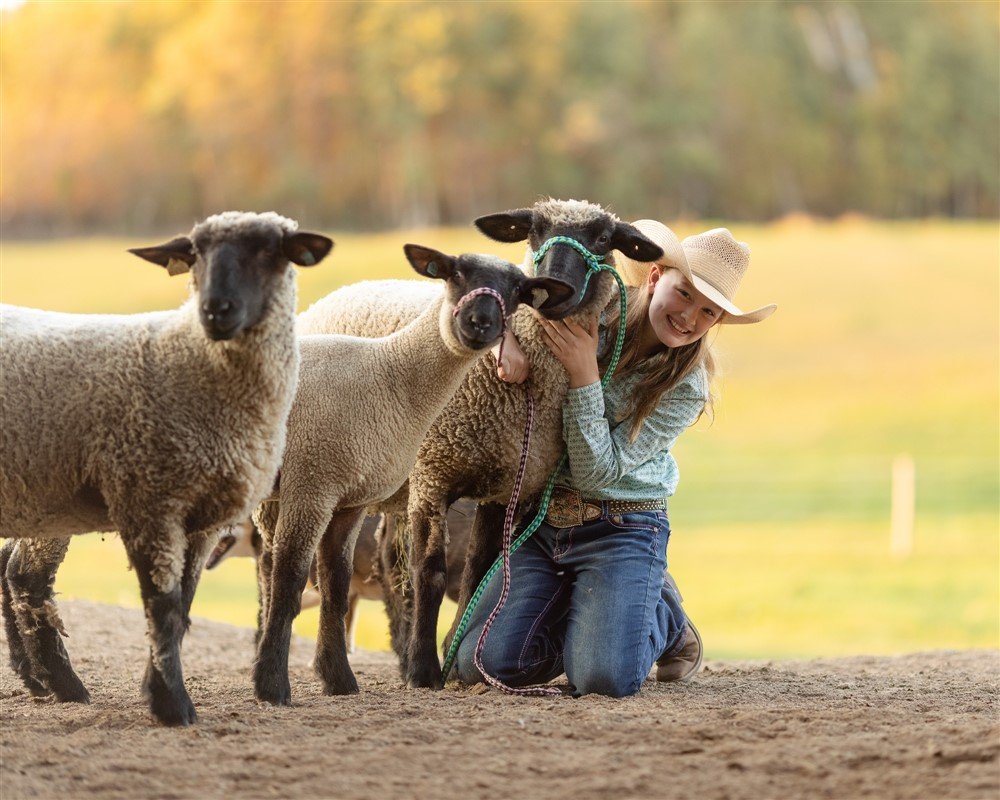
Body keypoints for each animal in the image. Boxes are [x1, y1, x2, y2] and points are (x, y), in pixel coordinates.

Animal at [250, 242, 564, 700]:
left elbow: (335, 585)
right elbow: (292, 580)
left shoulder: (351, 498)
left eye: (518, 289)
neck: (389, 371)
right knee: (268, 571)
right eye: (455, 273)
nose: (480, 323)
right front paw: (272, 686)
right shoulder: (313, 483)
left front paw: (337, 679)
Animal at [292, 197, 664, 684]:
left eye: (603, 238)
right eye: (535, 230)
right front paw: (425, 669)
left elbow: (479, 574)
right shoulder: (433, 474)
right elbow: (430, 573)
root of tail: (345, 291)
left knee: (381, 564)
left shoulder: (504, 491)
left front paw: (452, 655)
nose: (557, 289)